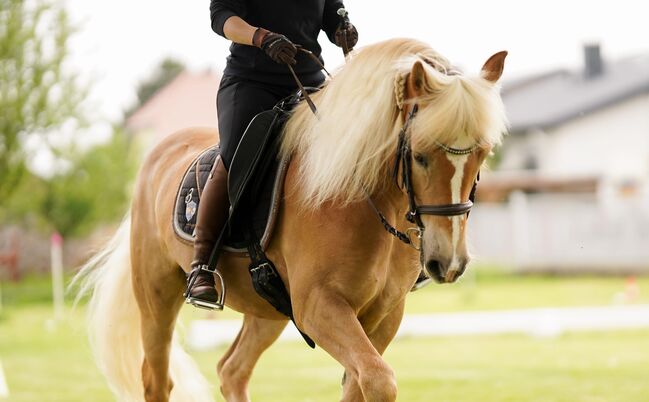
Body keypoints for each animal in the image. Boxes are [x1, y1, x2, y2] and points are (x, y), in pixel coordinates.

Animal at [76, 38, 508, 402]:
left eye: (482, 155)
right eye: (419, 155)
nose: (447, 262)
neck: (364, 201)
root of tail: (158, 153)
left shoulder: (386, 314)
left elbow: (361, 383)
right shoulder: (318, 306)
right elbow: (379, 380)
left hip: (267, 310)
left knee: (232, 370)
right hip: (157, 296)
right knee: (157, 379)